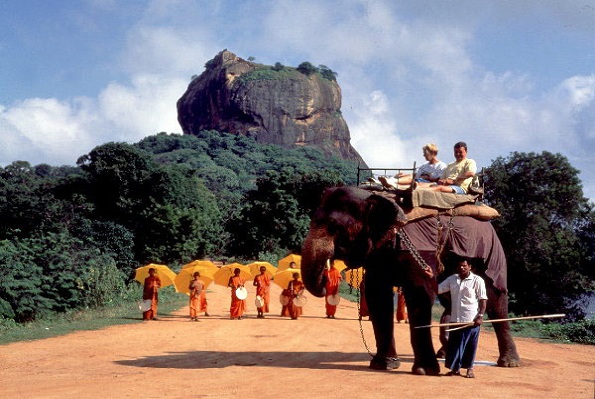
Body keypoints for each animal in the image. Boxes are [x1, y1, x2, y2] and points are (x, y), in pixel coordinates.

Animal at [302, 187, 520, 376]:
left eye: (335, 227)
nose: (327, 279)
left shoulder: (418, 249)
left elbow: (420, 293)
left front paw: (425, 371)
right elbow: (377, 295)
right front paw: (384, 365)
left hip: (492, 255)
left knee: (495, 297)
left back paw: (509, 363)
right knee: (450, 301)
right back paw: (445, 353)